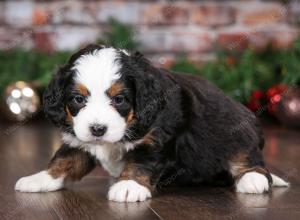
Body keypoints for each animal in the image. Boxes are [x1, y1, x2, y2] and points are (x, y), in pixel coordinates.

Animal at [14, 44, 288, 203]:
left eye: (120, 99)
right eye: (78, 99)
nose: (98, 129)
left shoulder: (157, 137)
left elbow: (142, 161)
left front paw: (129, 185)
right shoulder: (79, 138)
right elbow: (65, 159)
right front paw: (40, 179)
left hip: (235, 128)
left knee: (249, 158)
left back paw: (253, 179)